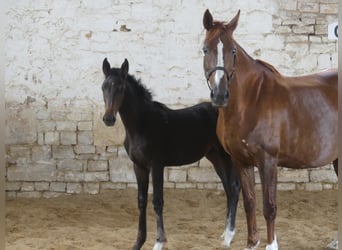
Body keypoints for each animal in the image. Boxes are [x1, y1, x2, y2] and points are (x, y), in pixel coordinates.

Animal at [101, 57, 240, 249]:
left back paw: (229, 236)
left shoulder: (156, 165)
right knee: (228, 189)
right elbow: (141, 201)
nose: (108, 119)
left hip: (227, 157)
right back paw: (224, 234)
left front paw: (159, 242)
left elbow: (157, 201)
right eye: (103, 87)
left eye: (121, 87)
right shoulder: (139, 166)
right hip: (216, 157)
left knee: (234, 189)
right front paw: (138, 242)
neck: (141, 125)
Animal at [202, 8, 338, 249]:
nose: (219, 95)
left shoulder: (268, 161)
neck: (251, 101)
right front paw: (251, 242)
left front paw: (271, 244)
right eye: (205, 49)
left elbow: (269, 206)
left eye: (232, 50)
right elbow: (250, 203)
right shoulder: (241, 161)